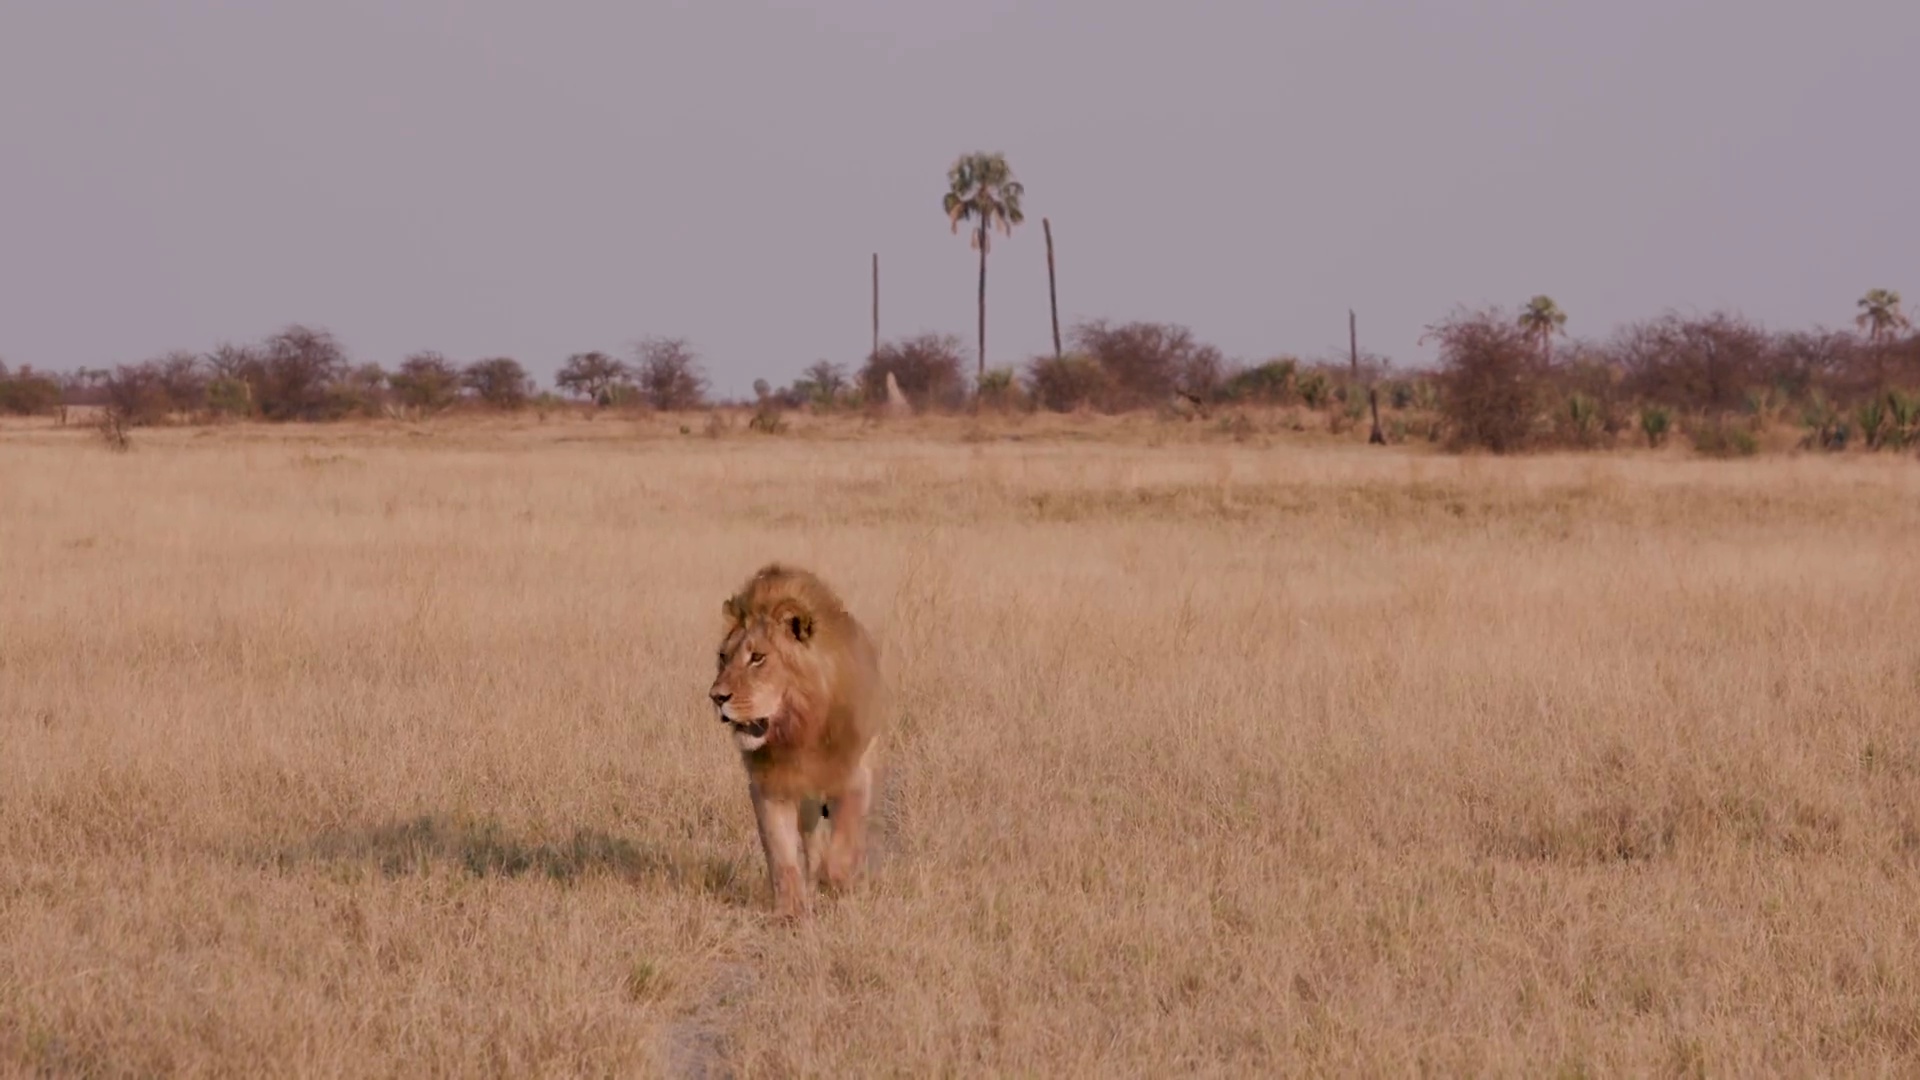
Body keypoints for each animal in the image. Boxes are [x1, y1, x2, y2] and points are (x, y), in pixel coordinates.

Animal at [710, 557, 887, 910]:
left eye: (757, 657)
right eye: (723, 656)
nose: (716, 697)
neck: (799, 731)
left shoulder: (854, 776)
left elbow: (843, 849)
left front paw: (839, 883)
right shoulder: (770, 786)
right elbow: (782, 856)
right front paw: (791, 911)